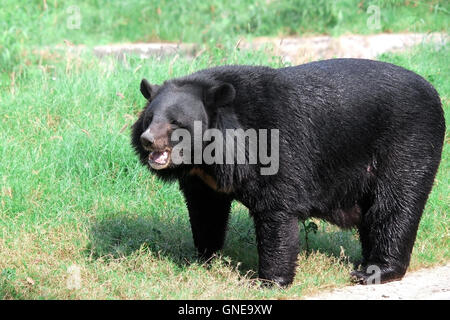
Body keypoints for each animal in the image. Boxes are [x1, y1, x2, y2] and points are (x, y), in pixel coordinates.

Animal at [131, 58, 446, 288]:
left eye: (175, 123)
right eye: (150, 118)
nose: (148, 140)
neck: (208, 154)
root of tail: (434, 91)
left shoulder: (275, 148)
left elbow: (277, 210)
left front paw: (269, 281)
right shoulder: (203, 180)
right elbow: (206, 211)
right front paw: (203, 259)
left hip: (409, 142)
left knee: (395, 205)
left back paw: (374, 271)